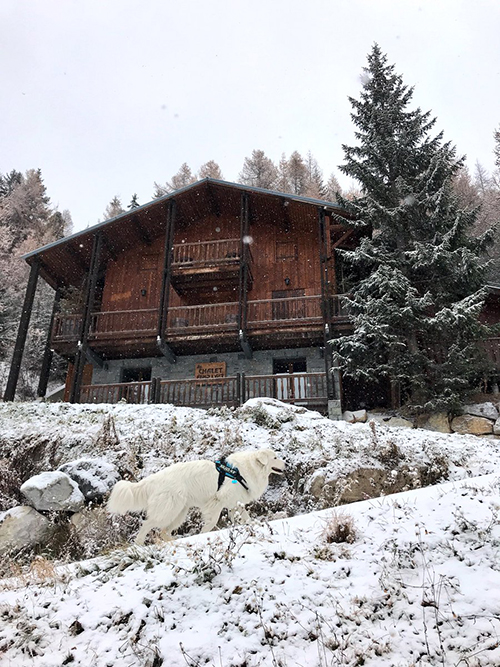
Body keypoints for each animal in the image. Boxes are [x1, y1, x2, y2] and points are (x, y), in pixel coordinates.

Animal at [107, 448, 284, 544]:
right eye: (275, 457)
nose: (286, 464)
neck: (245, 470)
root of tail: (154, 479)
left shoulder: (234, 503)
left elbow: (244, 518)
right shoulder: (217, 501)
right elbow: (211, 522)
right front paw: (203, 534)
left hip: (179, 513)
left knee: (163, 531)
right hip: (169, 510)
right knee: (147, 524)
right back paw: (139, 543)